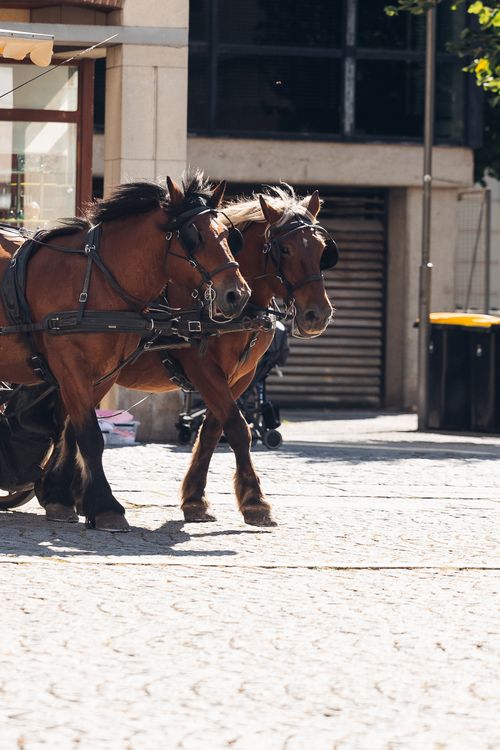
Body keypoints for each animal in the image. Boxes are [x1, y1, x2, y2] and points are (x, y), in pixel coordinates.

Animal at [0, 172, 250, 531]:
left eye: (228, 235)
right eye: (193, 236)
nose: (237, 295)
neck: (97, 281)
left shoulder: (104, 372)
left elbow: (73, 431)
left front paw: (70, 499)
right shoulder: (70, 365)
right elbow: (90, 436)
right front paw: (105, 506)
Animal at [32, 184, 337, 528]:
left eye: (322, 250)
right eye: (284, 250)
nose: (317, 314)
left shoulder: (240, 377)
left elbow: (213, 431)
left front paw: (195, 499)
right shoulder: (202, 368)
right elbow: (238, 428)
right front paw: (255, 501)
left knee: (70, 423)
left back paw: (69, 495)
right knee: (69, 423)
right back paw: (66, 496)